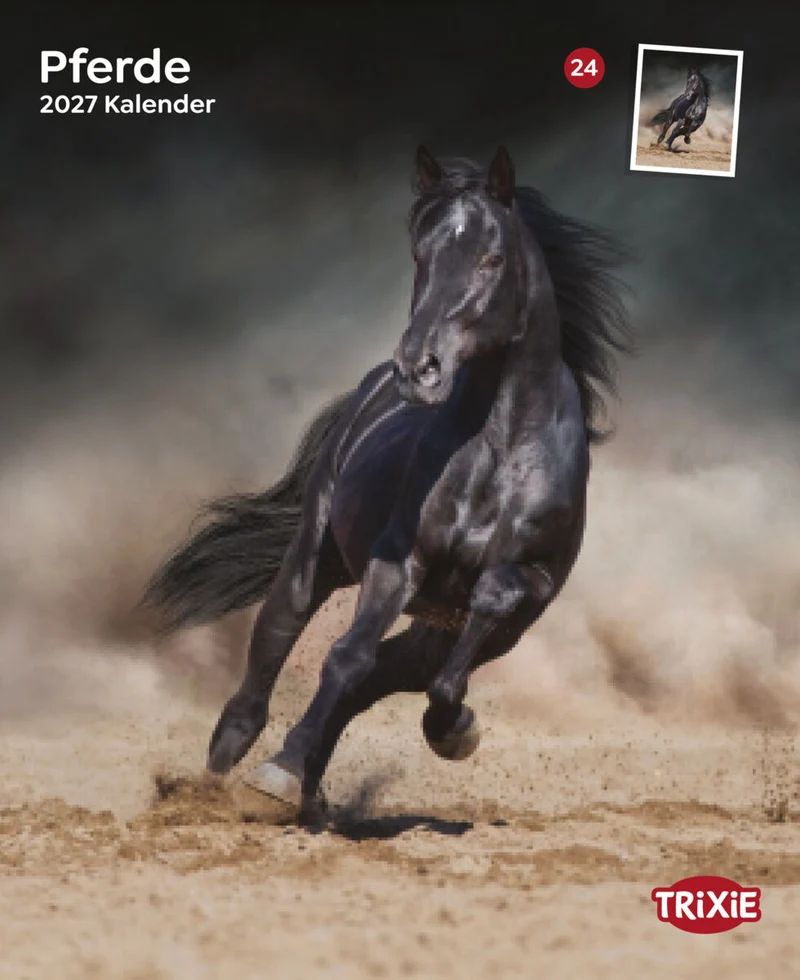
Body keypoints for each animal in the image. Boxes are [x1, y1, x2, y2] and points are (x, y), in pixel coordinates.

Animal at [144, 146, 632, 821]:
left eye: (491, 258)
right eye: (421, 256)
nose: (419, 367)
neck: (501, 450)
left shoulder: (529, 591)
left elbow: (474, 629)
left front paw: (454, 730)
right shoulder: (399, 563)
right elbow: (346, 657)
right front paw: (275, 776)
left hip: (451, 630)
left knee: (390, 675)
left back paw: (318, 783)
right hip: (314, 559)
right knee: (274, 650)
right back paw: (223, 778)